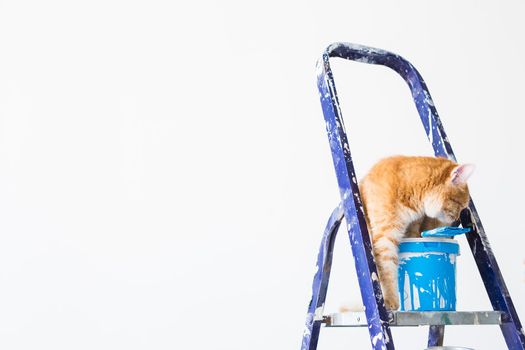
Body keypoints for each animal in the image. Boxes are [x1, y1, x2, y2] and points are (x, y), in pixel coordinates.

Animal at [358, 156, 472, 308]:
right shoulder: (384, 237)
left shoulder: (413, 228)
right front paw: (391, 301)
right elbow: (387, 269)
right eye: (460, 205)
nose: (457, 219)